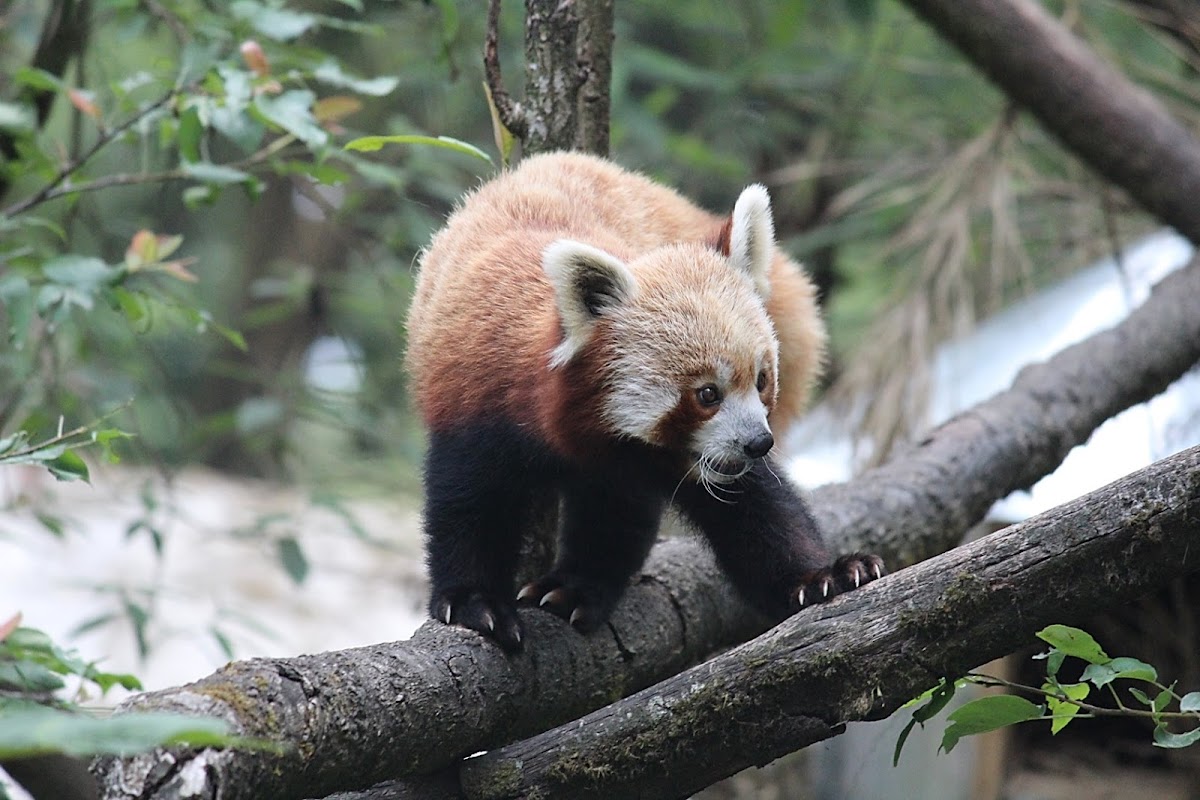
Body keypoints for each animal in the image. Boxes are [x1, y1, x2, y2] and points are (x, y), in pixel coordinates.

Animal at [408, 151, 888, 652]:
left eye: (760, 380)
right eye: (707, 394)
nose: (759, 442)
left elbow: (754, 509)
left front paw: (822, 577)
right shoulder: (477, 401)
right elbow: (470, 505)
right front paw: (475, 603)